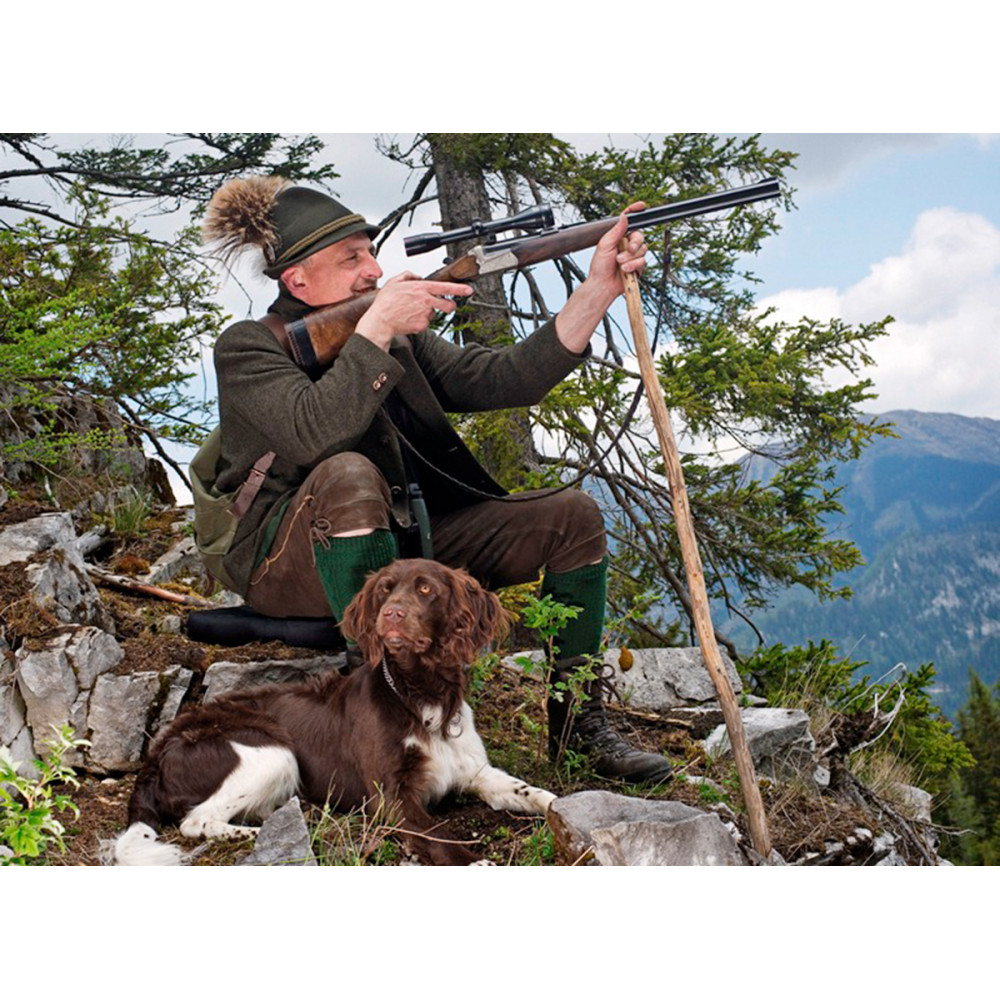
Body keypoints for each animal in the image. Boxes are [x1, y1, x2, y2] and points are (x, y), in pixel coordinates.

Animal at [111, 558, 556, 865]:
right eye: (385, 590)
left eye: (426, 589)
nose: (391, 613)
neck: (422, 696)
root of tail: (157, 752)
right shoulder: (389, 795)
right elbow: (437, 831)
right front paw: (474, 861)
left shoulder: (477, 772)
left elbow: (534, 792)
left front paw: (559, 809)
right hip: (272, 752)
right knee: (194, 820)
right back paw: (246, 835)